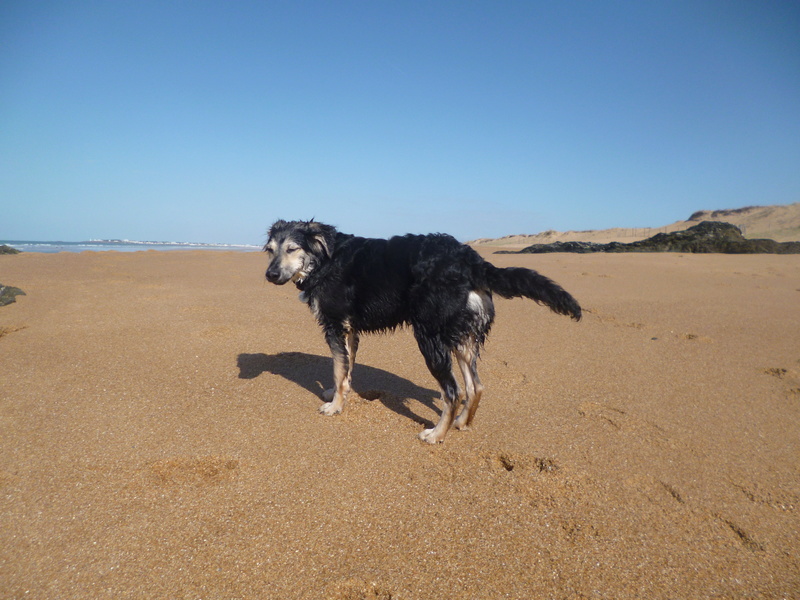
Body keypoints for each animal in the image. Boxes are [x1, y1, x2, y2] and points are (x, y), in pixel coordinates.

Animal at [264, 219, 580, 440]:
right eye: (270, 250)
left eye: (292, 249)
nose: (270, 274)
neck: (324, 260)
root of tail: (471, 260)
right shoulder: (350, 332)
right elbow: (346, 369)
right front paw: (335, 393)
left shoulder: (335, 327)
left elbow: (339, 369)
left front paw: (335, 407)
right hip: (461, 337)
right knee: (474, 387)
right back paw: (461, 423)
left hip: (429, 337)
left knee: (452, 391)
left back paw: (437, 434)